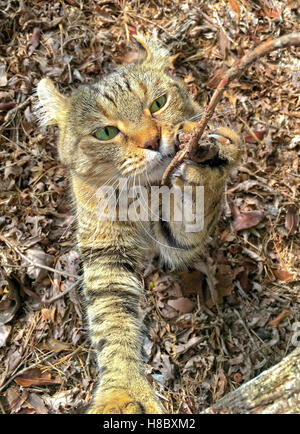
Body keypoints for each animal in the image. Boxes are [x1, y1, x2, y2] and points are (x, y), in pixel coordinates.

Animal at [35, 34, 241, 414]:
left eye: (158, 103)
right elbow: (112, 321)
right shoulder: (106, 253)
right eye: (105, 133)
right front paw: (122, 391)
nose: (152, 141)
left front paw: (207, 158)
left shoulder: (177, 240)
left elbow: (194, 210)